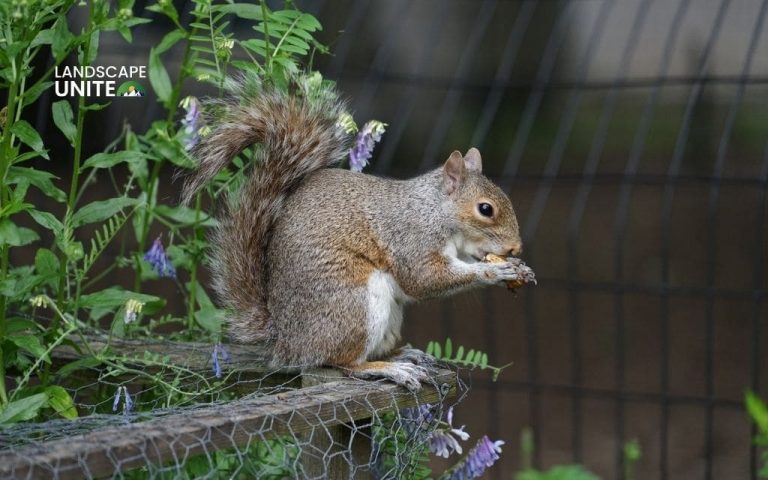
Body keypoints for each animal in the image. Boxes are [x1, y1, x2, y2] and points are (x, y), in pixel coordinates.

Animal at [182, 79, 530, 391]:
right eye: (485, 209)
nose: (516, 248)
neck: (433, 209)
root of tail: (285, 338)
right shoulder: (411, 238)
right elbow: (425, 278)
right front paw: (494, 271)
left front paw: (518, 268)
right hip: (355, 303)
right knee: (342, 362)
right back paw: (390, 369)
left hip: (387, 316)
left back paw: (404, 355)